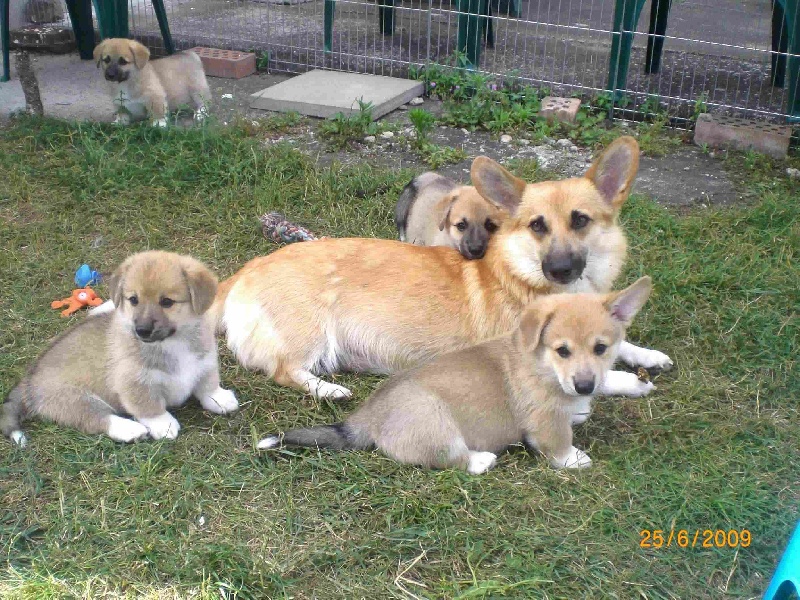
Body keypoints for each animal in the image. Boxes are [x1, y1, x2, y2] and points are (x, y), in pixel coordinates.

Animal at [0, 250, 238, 446]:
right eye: (133, 300)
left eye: (167, 302)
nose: (142, 330)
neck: (172, 342)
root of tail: (27, 382)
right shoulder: (134, 383)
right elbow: (149, 407)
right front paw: (164, 424)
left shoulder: (204, 362)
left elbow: (207, 385)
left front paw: (219, 398)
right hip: (73, 399)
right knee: (97, 418)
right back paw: (130, 430)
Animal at [212, 135, 668, 404]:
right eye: (537, 225)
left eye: (580, 220)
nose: (559, 270)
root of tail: (246, 271)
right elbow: (584, 374)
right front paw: (631, 381)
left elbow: (620, 342)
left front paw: (647, 354)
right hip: (308, 334)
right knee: (282, 370)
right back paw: (330, 389)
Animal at [260, 276, 652, 474]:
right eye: (563, 350)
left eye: (601, 348)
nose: (584, 385)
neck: (543, 365)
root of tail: (365, 419)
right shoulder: (544, 421)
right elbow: (558, 443)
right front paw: (574, 459)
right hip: (436, 423)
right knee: (453, 458)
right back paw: (482, 459)